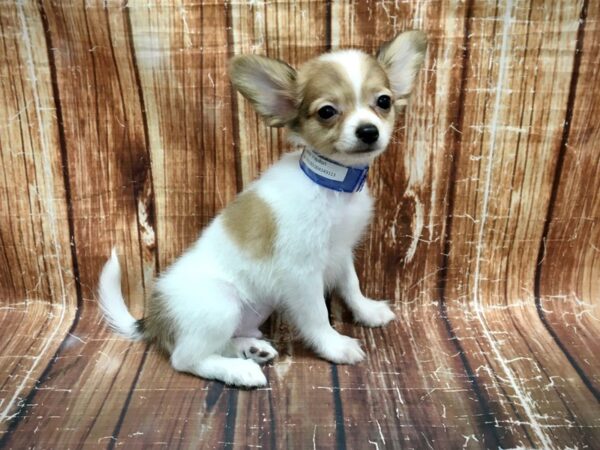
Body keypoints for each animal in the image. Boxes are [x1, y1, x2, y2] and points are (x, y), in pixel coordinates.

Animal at [98, 29, 426, 386]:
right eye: (327, 111)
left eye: (384, 102)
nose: (368, 131)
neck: (331, 185)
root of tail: (153, 318)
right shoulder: (302, 273)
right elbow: (317, 314)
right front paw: (334, 345)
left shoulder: (341, 252)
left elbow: (351, 286)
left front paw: (367, 311)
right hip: (221, 305)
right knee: (185, 359)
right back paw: (239, 370)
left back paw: (250, 349)